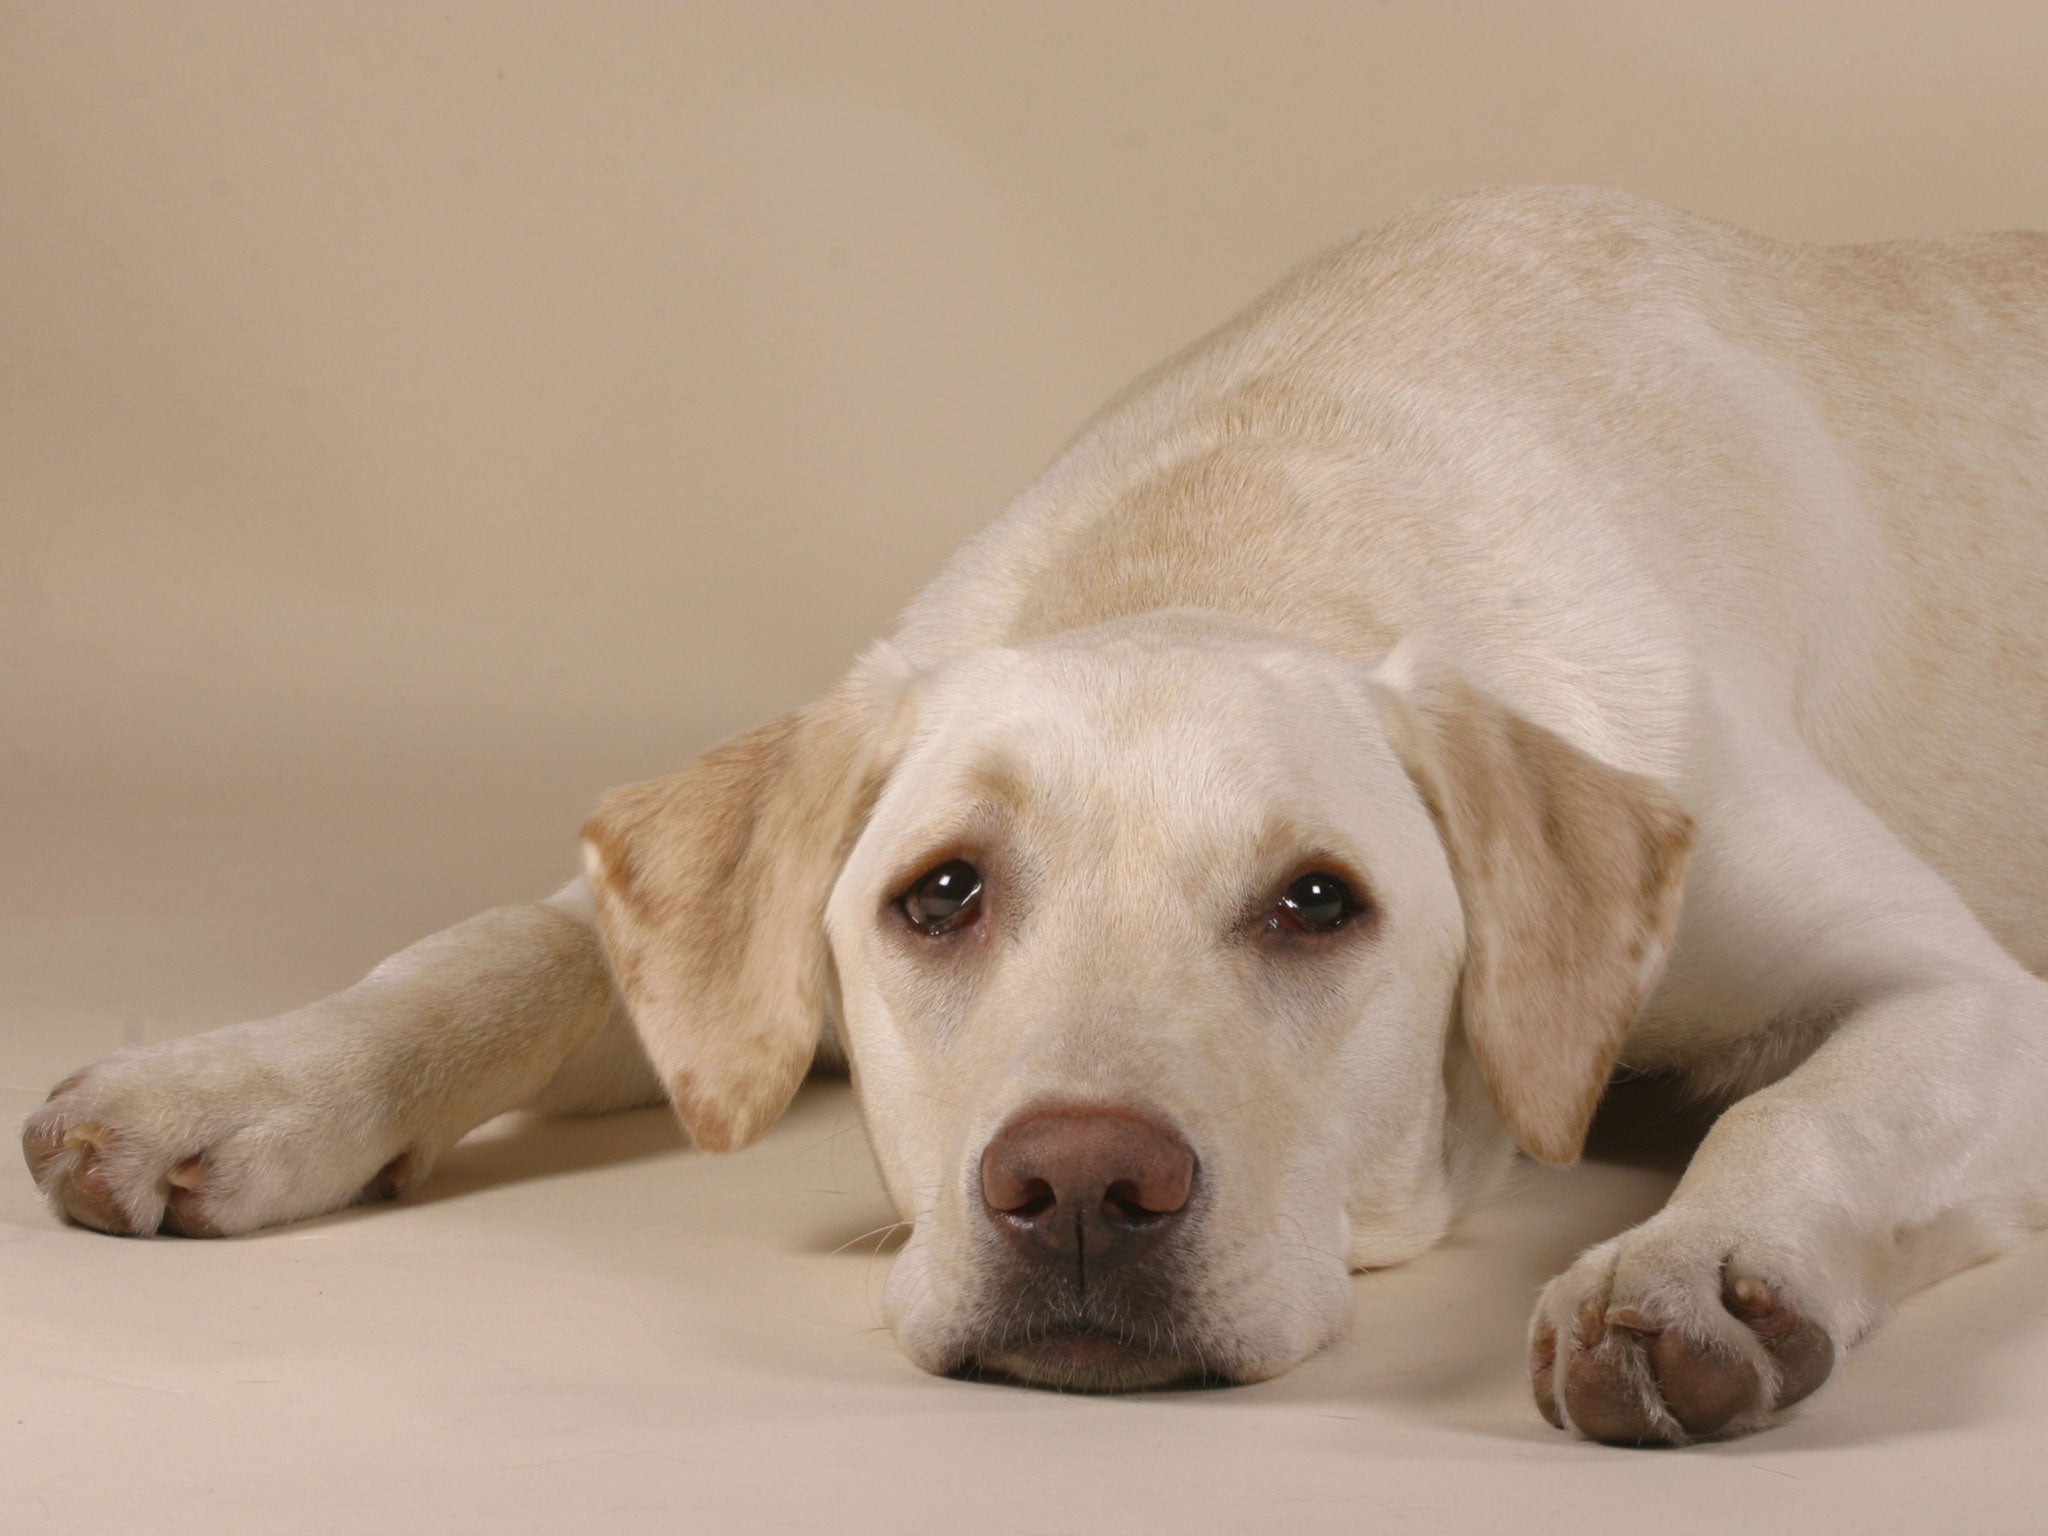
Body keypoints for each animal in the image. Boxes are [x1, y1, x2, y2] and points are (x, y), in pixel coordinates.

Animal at [19, 189, 2048, 1441]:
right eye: (939, 895)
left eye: (1320, 903)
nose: (1081, 1188)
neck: (1261, 516)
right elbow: (484, 953)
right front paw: (230, 1084)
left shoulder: (1963, 998)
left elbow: (1797, 1103)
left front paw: (1693, 1267)